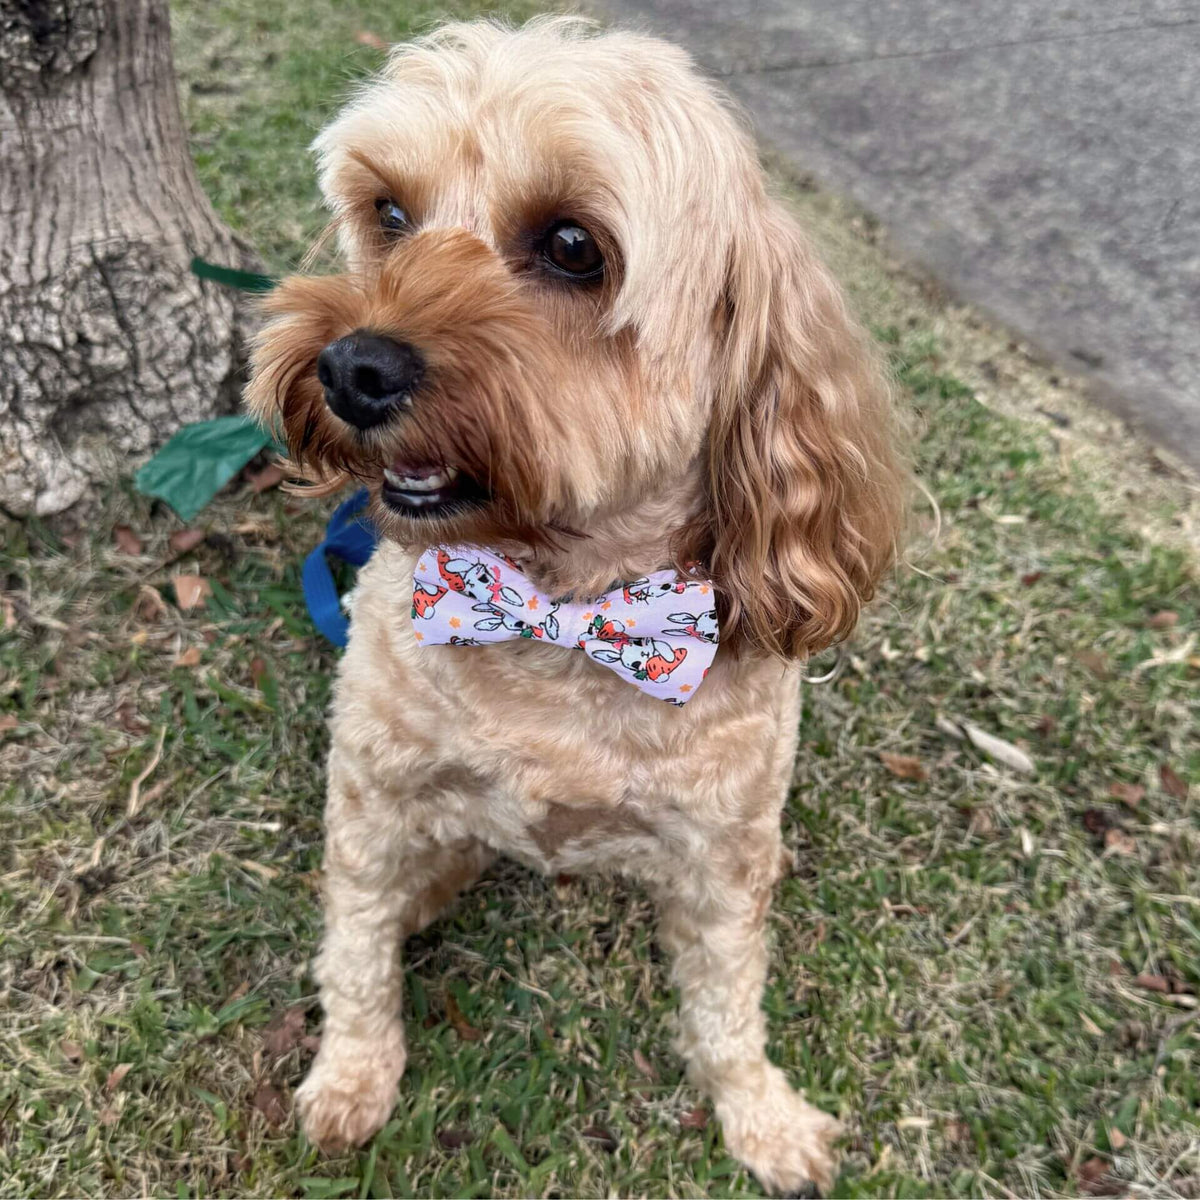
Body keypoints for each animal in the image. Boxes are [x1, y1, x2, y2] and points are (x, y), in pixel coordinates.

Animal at [243, 16, 902, 1190]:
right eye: (389, 214)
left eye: (571, 246)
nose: (351, 366)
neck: (554, 612)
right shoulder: (370, 791)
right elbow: (357, 945)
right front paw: (351, 1079)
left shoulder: (723, 855)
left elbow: (729, 1002)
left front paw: (761, 1116)